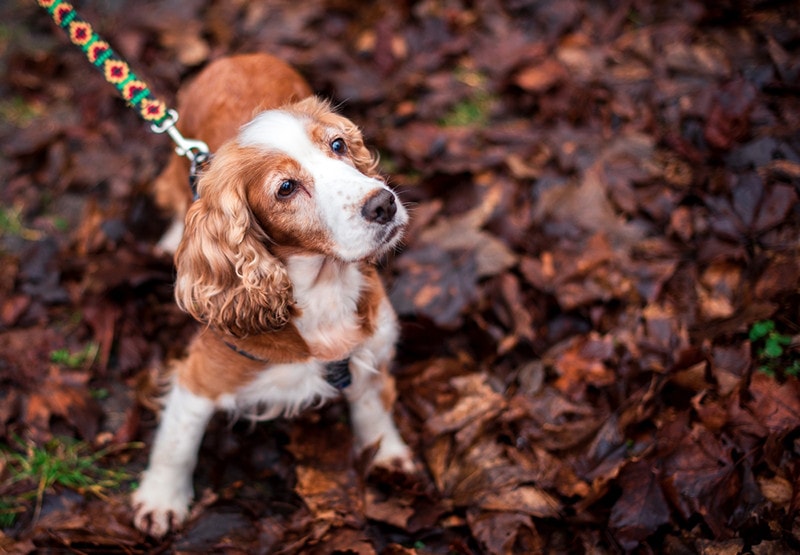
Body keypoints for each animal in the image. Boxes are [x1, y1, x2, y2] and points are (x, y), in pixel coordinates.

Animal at [131, 54, 412, 536]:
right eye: (285, 188)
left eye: (338, 144)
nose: (383, 204)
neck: (322, 291)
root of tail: (238, 57)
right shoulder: (199, 377)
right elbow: (177, 443)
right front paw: (161, 500)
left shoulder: (369, 346)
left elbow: (373, 408)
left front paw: (387, 454)